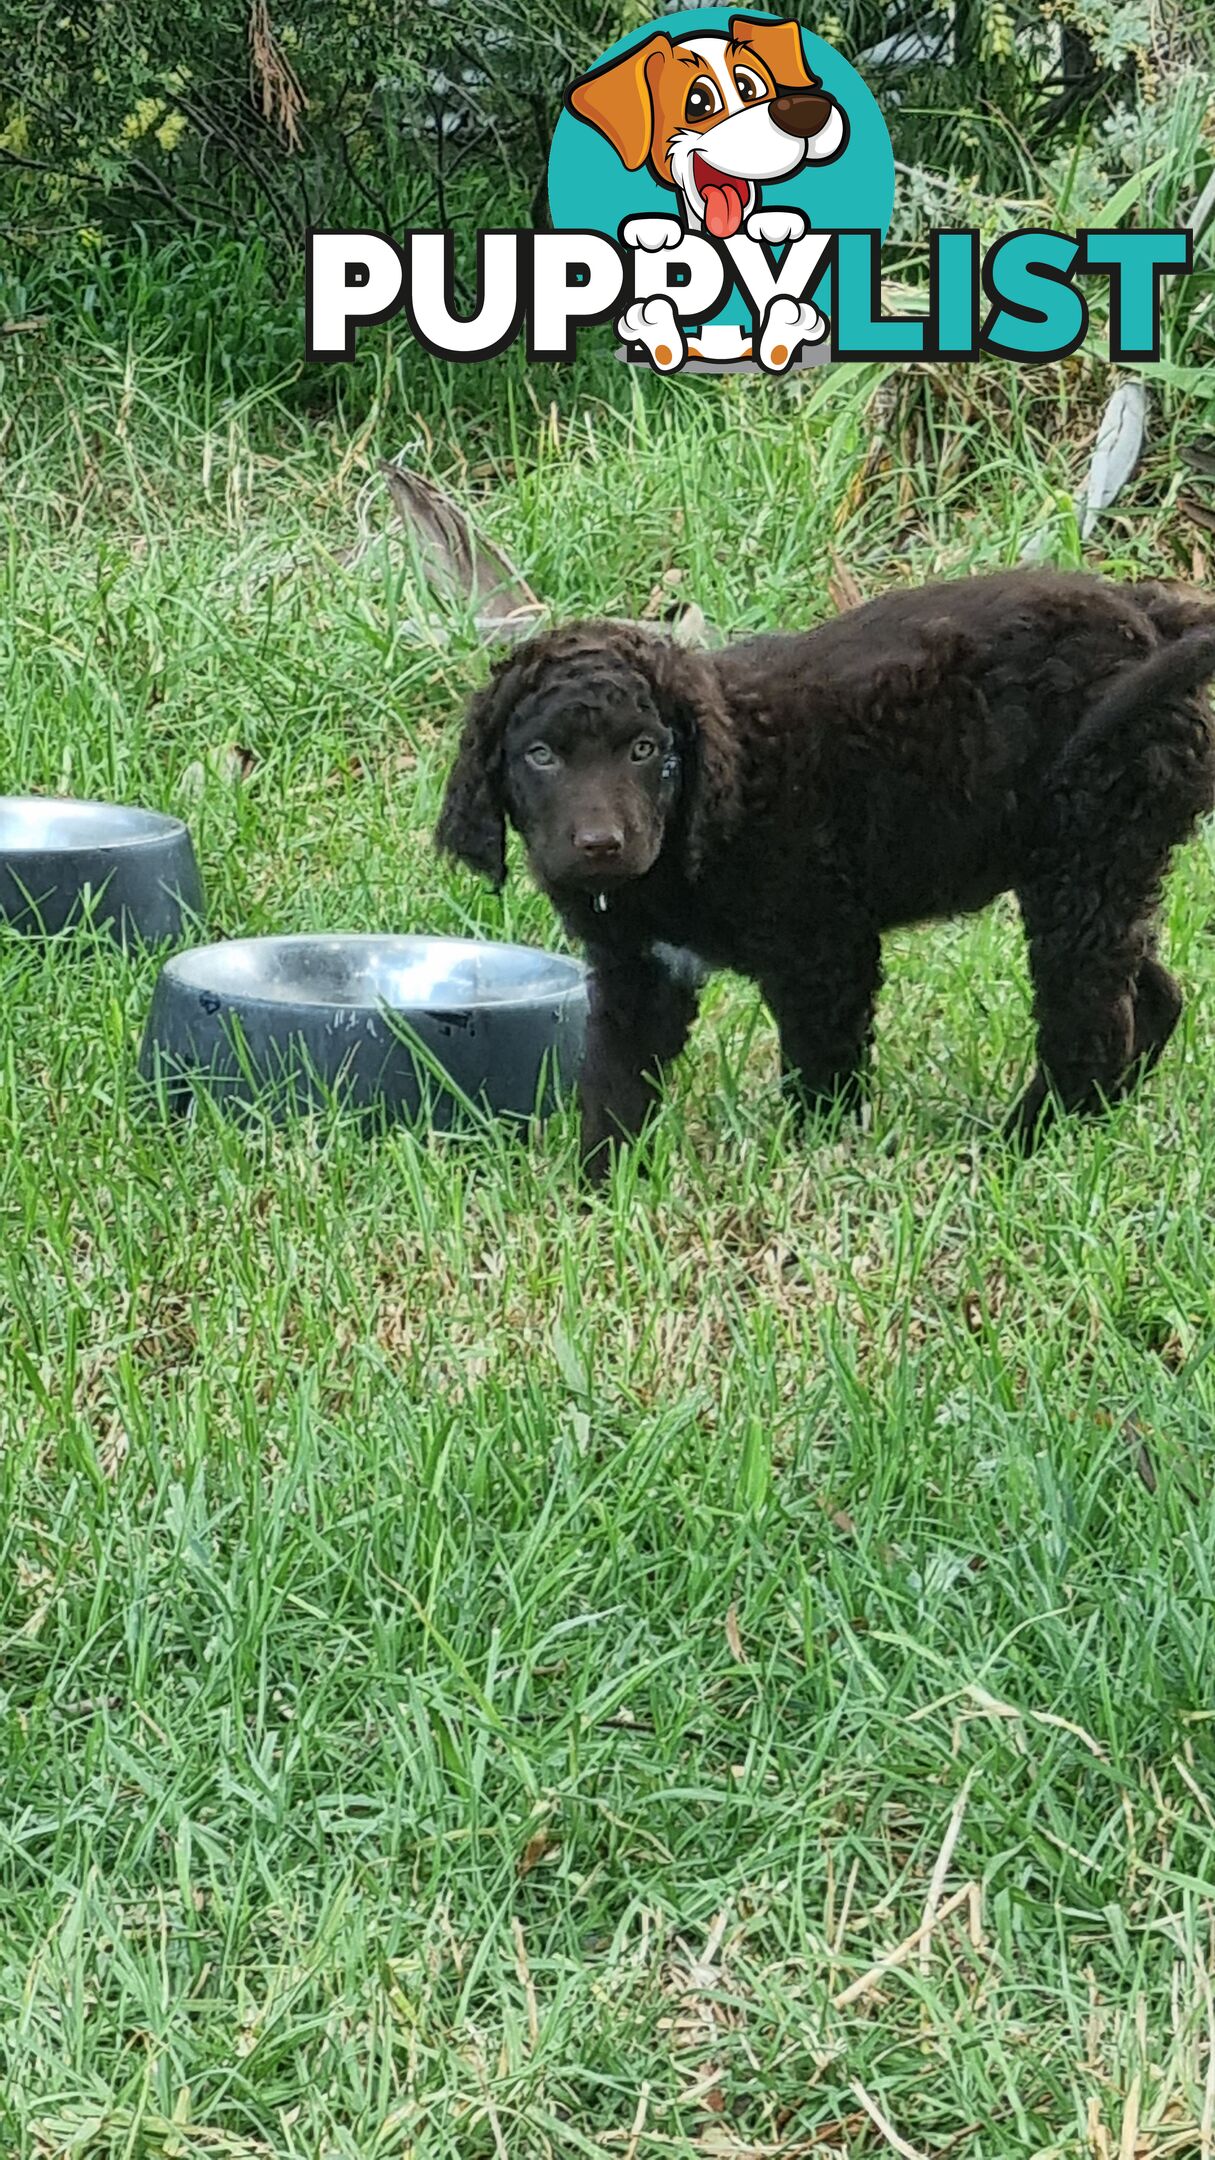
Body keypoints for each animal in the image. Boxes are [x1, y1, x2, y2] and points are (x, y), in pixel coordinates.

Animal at [434, 570, 1210, 1183]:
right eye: (539, 756)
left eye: (645, 750)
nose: (601, 845)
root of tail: (1148, 615)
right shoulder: (638, 970)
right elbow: (615, 1080)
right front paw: (600, 1189)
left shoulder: (823, 951)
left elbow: (821, 1075)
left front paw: (816, 1163)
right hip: (1099, 861)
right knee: (1148, 996)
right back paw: (1087, 1123)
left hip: (1086, 847)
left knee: (1087, 1021)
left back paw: (1018, 1146)